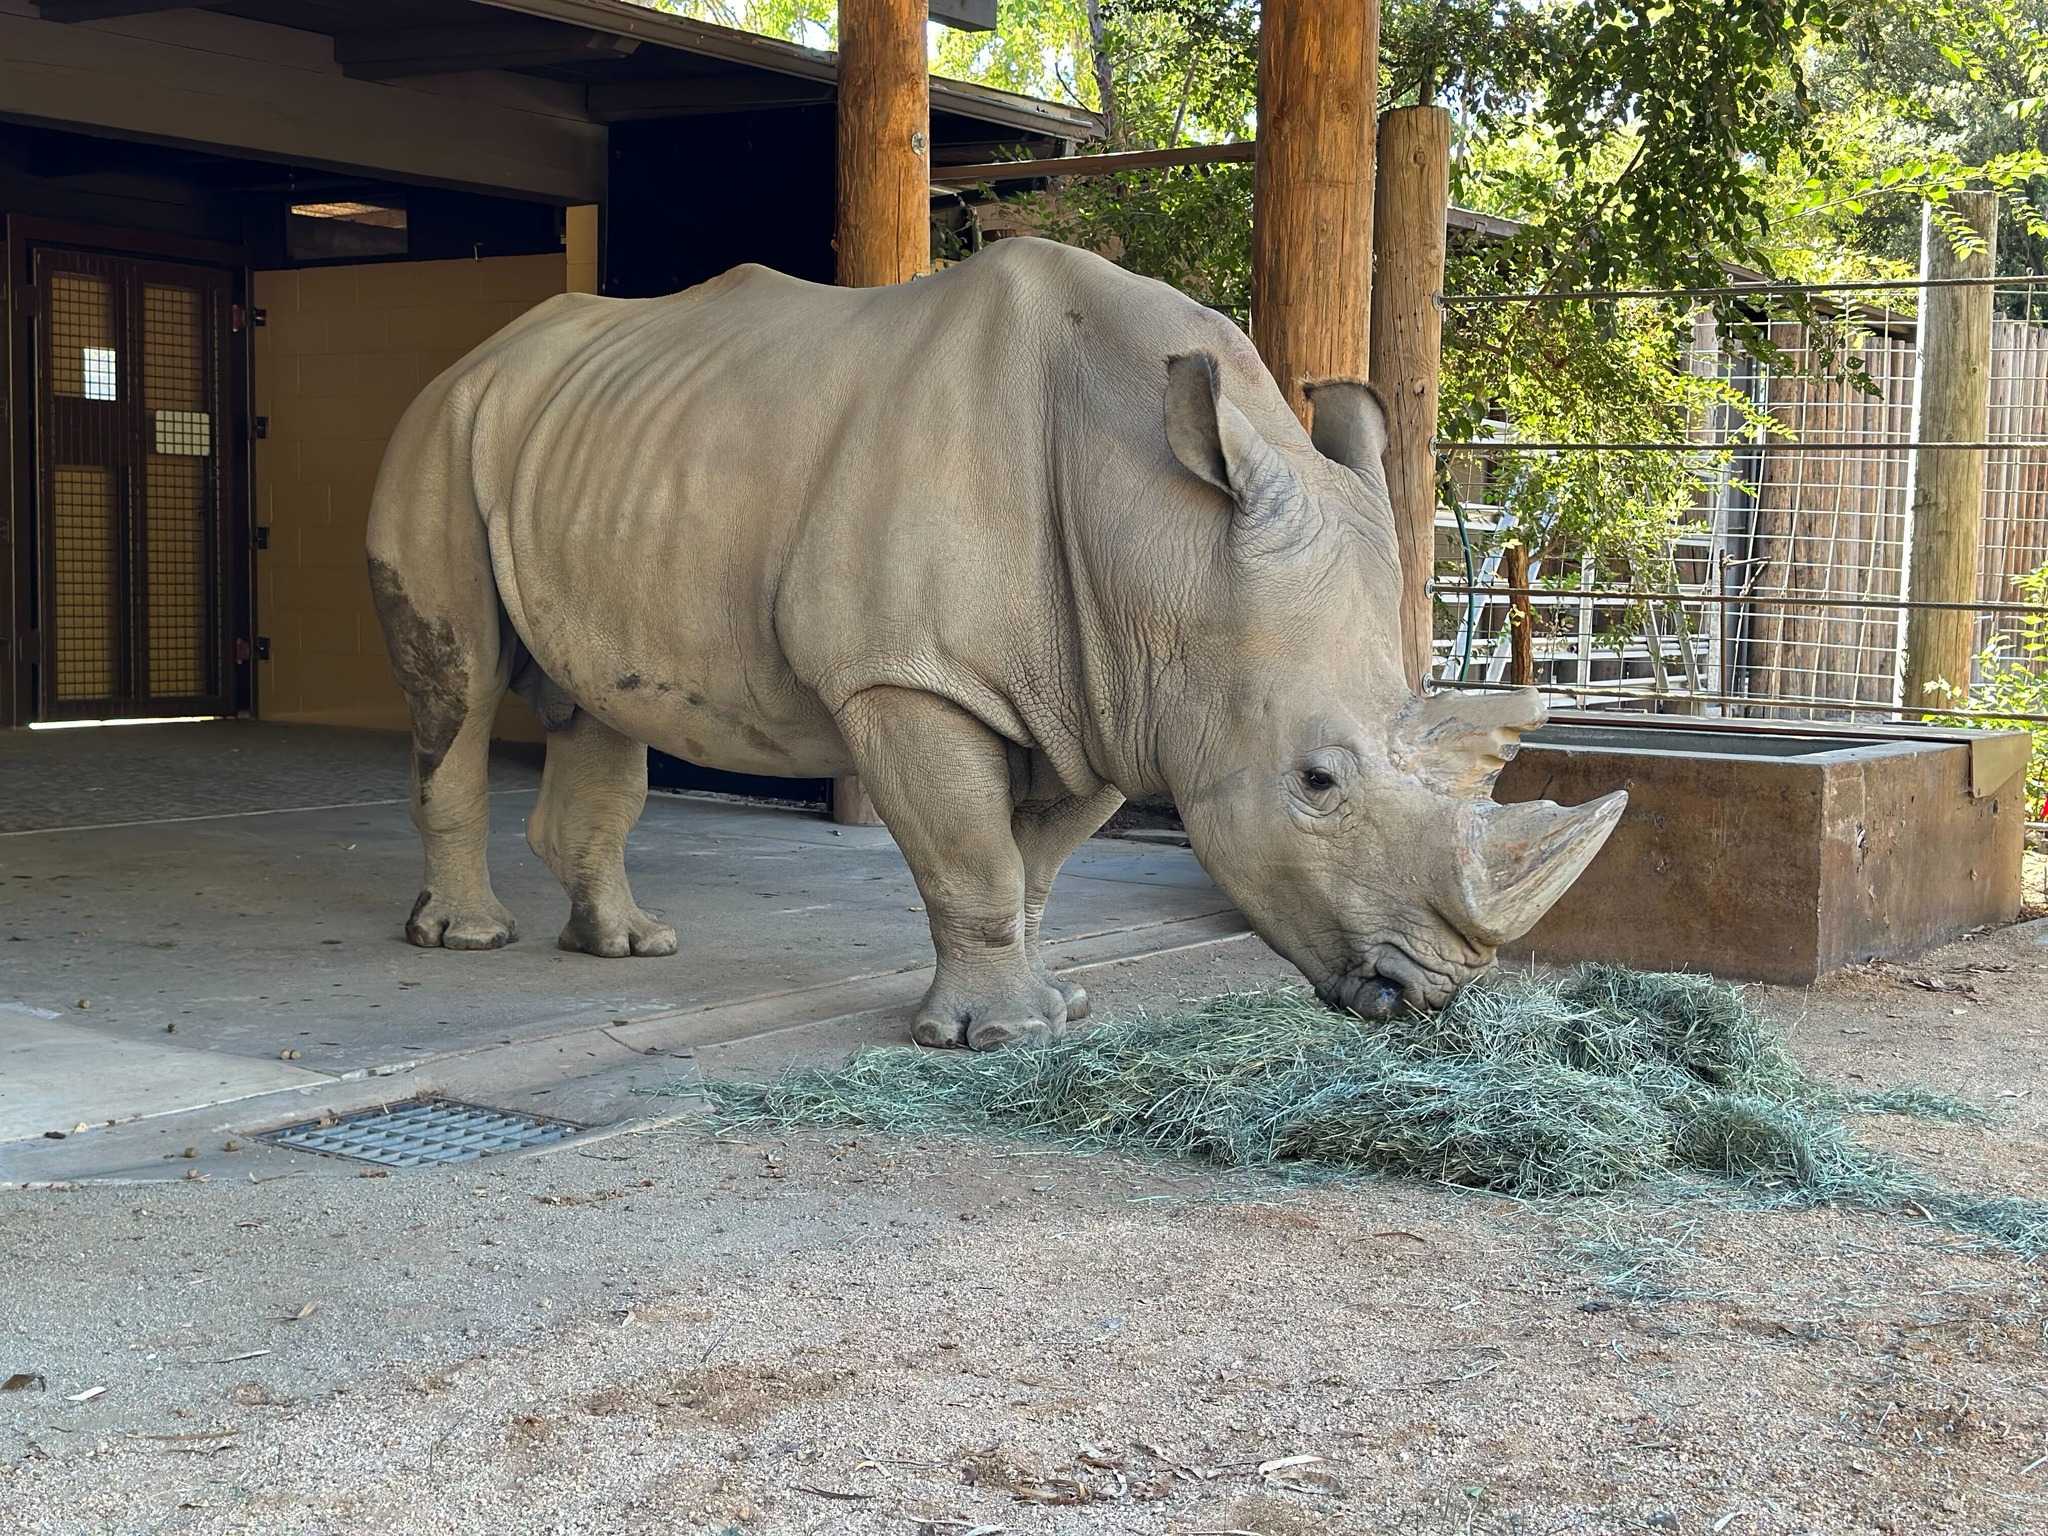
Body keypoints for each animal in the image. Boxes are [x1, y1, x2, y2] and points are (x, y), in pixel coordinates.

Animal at [366, 236, 1624, 1047]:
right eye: (1316, 782)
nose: (1432, 992)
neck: (1162, 541)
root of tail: (477, 357)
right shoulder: (910, 677)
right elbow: (969, 853)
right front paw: (998, 1039)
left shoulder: (1109, 694)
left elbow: (1034, 864)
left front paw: (1053, 1005)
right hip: (438, 430)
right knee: (458, 688)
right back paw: (468, 939)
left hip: (588, 444)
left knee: (594, 703)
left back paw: (629, 947)